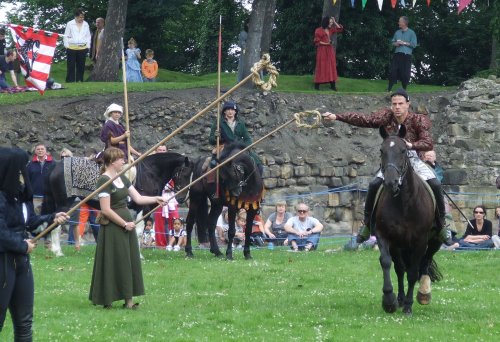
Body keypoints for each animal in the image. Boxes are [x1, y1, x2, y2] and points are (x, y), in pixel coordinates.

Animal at [376, 125, 444, 316]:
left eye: (403, 150)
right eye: (382, 151)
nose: (390, 181)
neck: (404, 203)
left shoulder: (420, 241)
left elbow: (414, 272)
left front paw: (408, 305)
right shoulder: (385, 236)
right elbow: (387, 263)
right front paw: (389, 300)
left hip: (434, 240)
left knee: (425, 263)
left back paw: (423, 293)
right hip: (400, 245)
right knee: (400, 268)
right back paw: (399, 299)